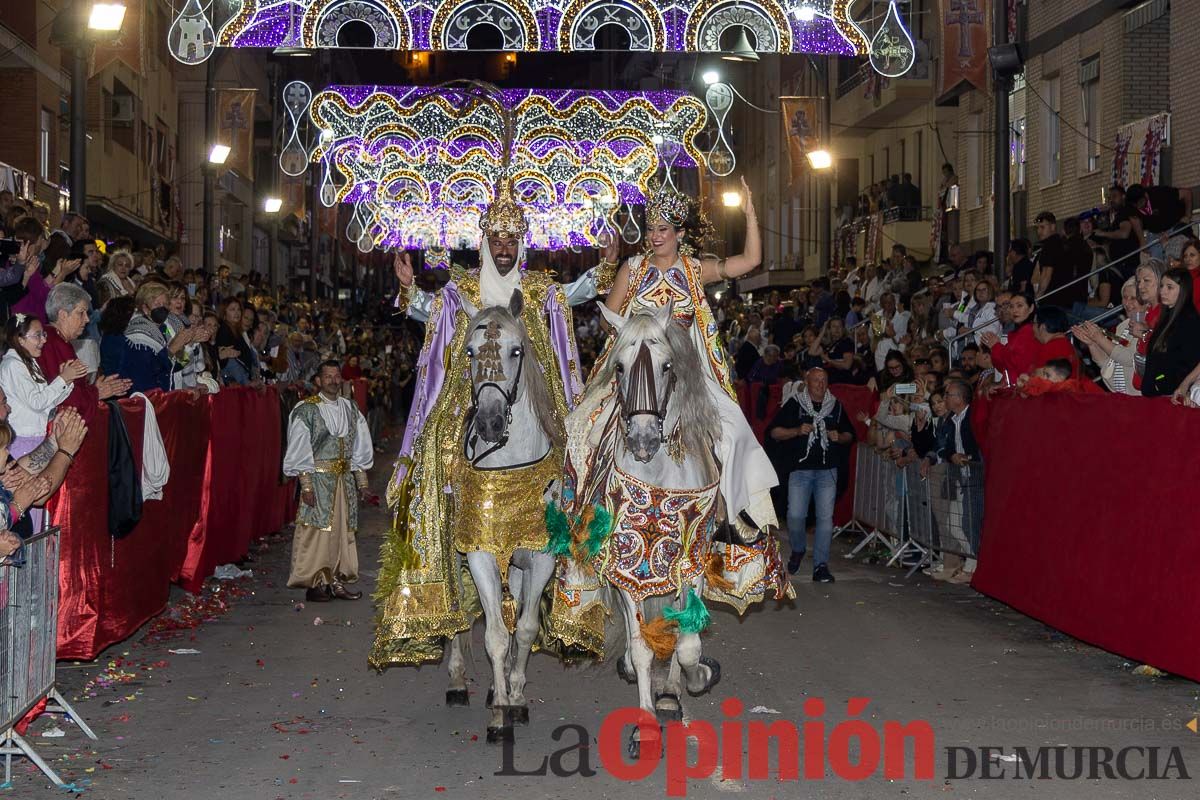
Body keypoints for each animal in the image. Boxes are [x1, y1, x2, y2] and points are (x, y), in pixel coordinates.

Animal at [446, 292, 561, 743]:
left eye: (516, 350)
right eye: (470, 352)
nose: (491, 423)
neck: (508, 468)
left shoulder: (541, 557)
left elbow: (524, 629)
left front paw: (516, 698)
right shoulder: (479, 554)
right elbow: (494, 634)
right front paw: (499, 719)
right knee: (460, 619)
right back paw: (458, 681)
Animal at [588, 302, 724, 758]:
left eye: (667, 366)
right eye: (619, 367)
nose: (644, 440)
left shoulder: (690, 565)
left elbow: (688, 645)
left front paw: (695, 679)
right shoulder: (628, 570)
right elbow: (642, 649)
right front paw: (645, 726)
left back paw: (671, 694)